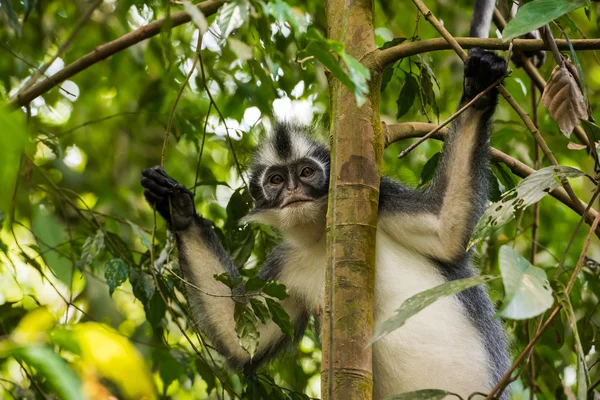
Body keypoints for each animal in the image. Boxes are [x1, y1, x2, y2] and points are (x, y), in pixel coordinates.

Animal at [142, 50, 510, 400]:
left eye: (306, 172)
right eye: (276, 180)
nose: (293, 190)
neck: (322, 233)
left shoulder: (383, 199)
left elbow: (445, 230)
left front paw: (478, 84)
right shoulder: (288, 264)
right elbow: (243, 339)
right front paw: (177, 210)